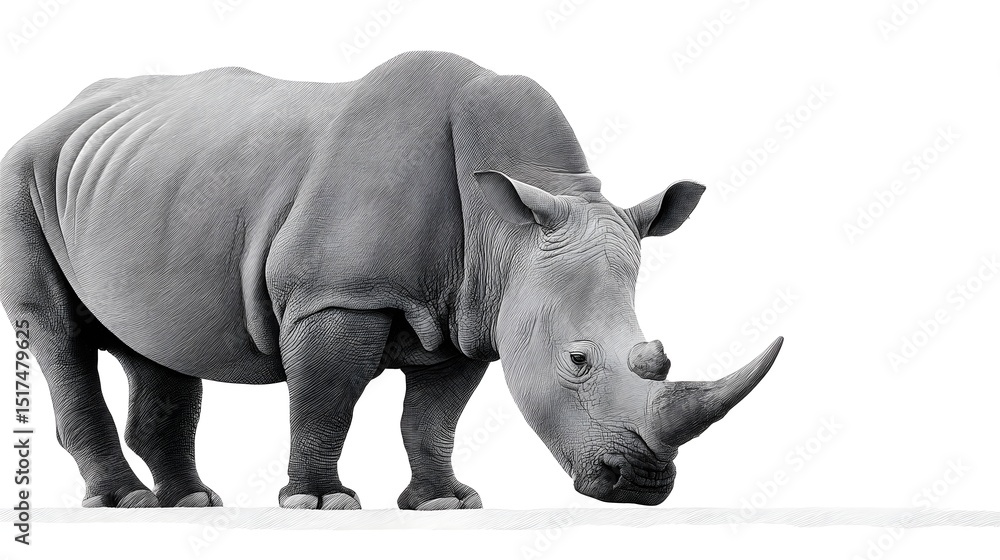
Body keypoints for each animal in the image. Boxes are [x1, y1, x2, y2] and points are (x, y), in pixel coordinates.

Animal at [0, 51, 782, 510]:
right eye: (578, 360)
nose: (643, 487)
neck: (510, 229)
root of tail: (56, 113)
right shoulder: (335, 295)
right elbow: (326, 401)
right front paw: (320, 504)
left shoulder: (475, 311)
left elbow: (432, 419)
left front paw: (444, 503)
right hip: (23, 175)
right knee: (57, 331)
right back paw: (123, 503)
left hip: (135, 180)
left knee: (153, 341)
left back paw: (191, 503)